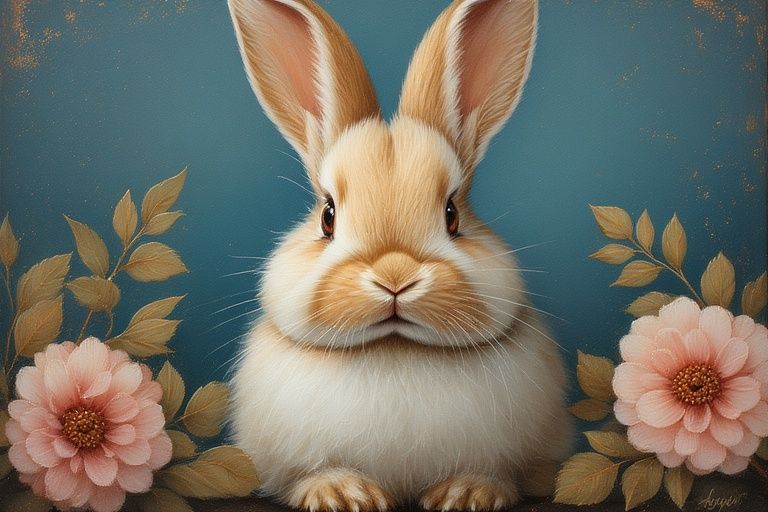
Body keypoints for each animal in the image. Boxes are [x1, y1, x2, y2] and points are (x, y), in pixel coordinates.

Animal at [226, 0, 572, 510]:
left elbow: (499, 474)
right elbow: (305, 475)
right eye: (328, 217)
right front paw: (342, 493)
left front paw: (467, 493)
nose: (395, 277)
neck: (394, 348)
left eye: (452, 215)